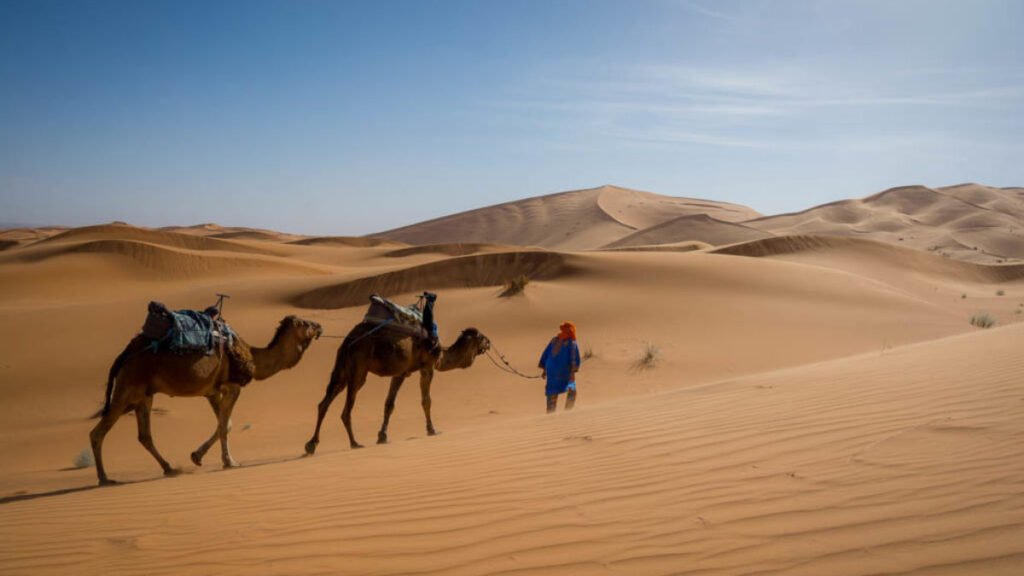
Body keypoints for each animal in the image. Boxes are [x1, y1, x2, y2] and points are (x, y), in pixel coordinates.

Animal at [93, 313, 323, 483]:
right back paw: (104, 478)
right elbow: (223, 426)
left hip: (142, 396)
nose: (320, 326)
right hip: (127, 390)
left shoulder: (212, 390)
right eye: (305, 323)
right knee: (98, 432)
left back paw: (169, 468)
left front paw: (197, 456)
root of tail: (125, 355)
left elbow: (225, 424)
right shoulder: (232, 386)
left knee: (144, 435)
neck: (253, 358)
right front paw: (230, 462)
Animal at [305, 319, 489, 450]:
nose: (489, 342)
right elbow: (426, 400)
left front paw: (382, 436)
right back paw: (354, 443)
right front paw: (432, 429)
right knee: (345, 410)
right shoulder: (427, 368)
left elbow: (389, 404)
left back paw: (311, 444)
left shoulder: (400, 373)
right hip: (358, 369)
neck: (440, 353)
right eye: (480, 337)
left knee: (324, 403)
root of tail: (348, 341)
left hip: (342, 371)